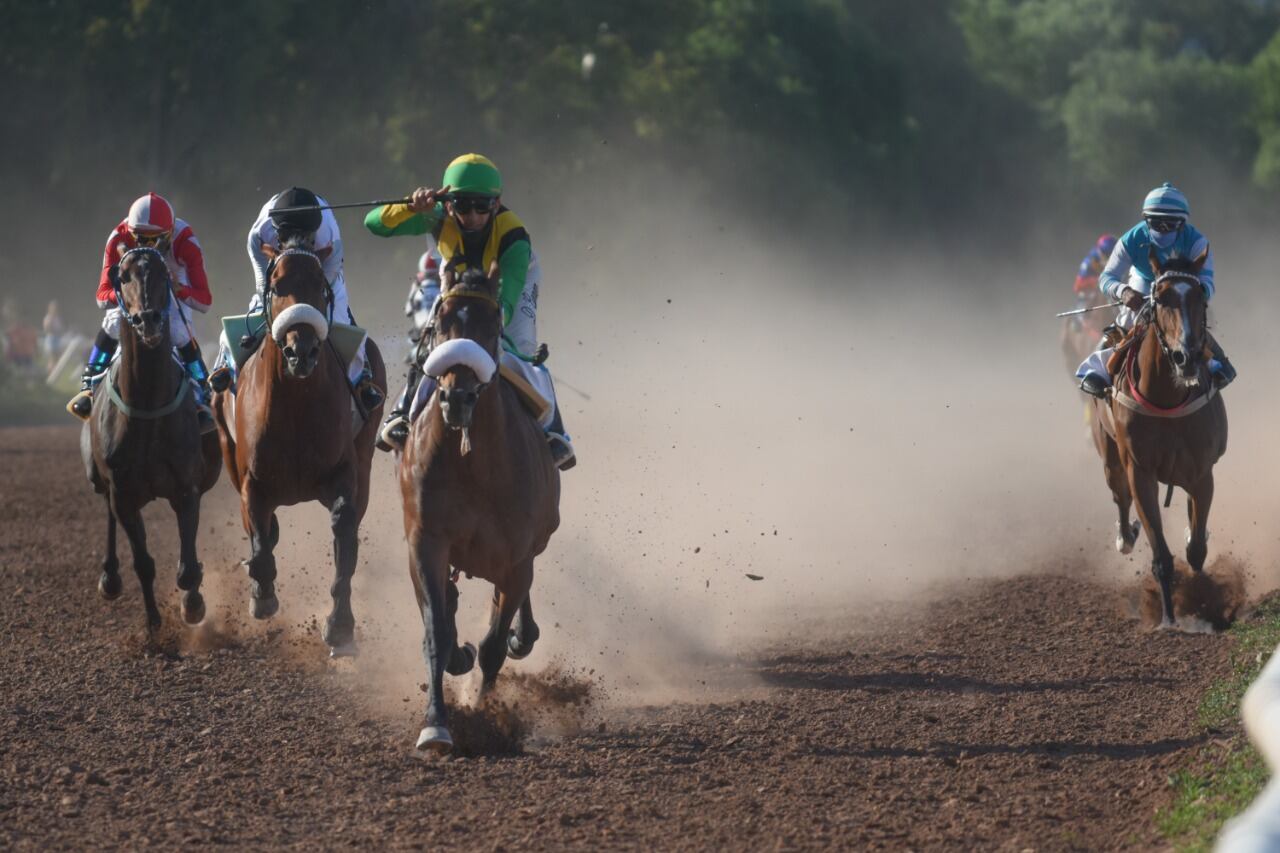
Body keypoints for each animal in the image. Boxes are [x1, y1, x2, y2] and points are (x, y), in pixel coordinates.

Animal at [80, 242, 221, 627]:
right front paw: (154, 623)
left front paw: (193, 603)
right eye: (123, 275)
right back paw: (109, 578)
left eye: (162, 274)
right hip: (99, 478)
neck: (146, 404)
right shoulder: (123, 493)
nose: (149, 320)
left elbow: (188, 567)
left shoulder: (187, 489)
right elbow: (143, 562)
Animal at [212, 239, 384, 650]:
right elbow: (259, 540)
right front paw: (262, 595)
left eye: (321, 285)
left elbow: (344, 534)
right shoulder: (251, 479)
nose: (300, 351)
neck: (295, 406)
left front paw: (340, 625)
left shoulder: (345, 474)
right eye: (276, 285)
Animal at [399, 266, 560, 753]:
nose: (457, 398)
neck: (473, 464)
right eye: (440, 322)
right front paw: (436, 724)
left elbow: (492, 646)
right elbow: (436, 633)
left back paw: (521, 636)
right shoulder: (426, 543)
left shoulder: (517, 558)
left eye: (492, 327)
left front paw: (483, 717)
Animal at [1090, 245, 1228, 625]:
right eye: (1161, 297)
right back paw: (1126, 535)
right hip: (1110, 459)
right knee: (1120, 498)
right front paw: (1169, 618)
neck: (1167, 397)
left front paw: (1204, 602)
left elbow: (1196, 549)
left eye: (1201, 297)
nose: (1187, 356)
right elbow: (1162, 558)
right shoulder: (1141, 472)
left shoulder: (1202, 473)